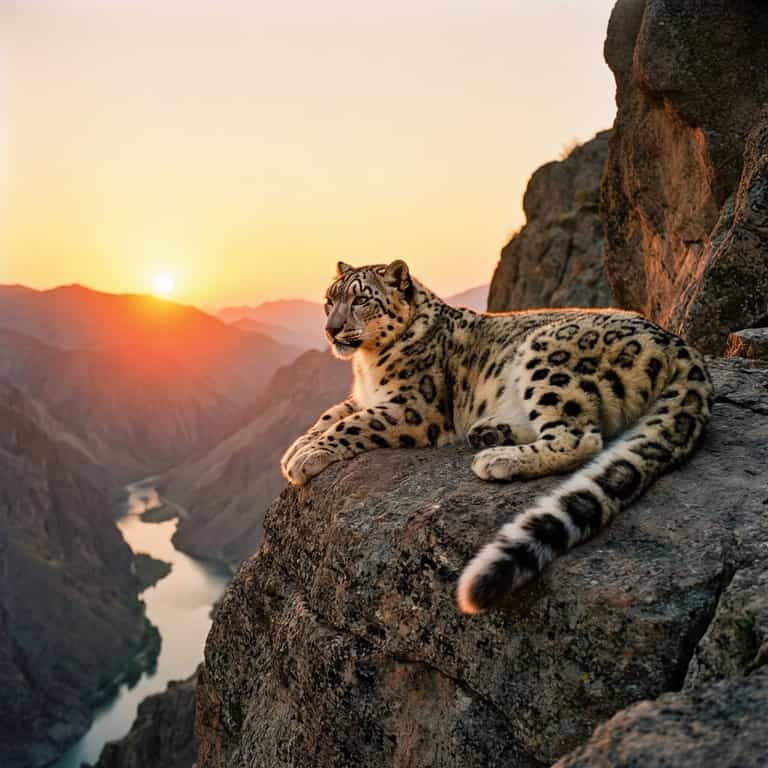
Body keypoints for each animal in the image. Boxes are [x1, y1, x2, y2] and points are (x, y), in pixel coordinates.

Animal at [280, 260, 714, 615]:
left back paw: (497, 459)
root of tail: (680, 345)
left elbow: (353, 424)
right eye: (329, 300)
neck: (367, 365)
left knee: (582, 436)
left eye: (361, 300)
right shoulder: (362, 397)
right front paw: (295, 449)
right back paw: (489, 433)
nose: (331, 329)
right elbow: (331, 414)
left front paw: (305, 457)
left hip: (547, 358)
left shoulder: (414, 407)